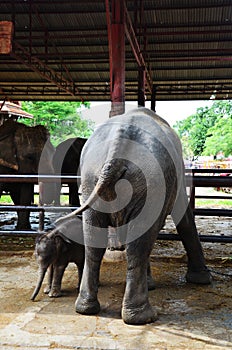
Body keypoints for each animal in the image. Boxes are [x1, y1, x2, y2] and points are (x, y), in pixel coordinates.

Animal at [57, 106, 211, 326]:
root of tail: (116, 151)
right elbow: (183, 215)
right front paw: (202, 280)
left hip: (90, 179)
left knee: (94, 241)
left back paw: (86, 308)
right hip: (151, 181)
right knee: (138, 245)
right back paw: (143, 317)